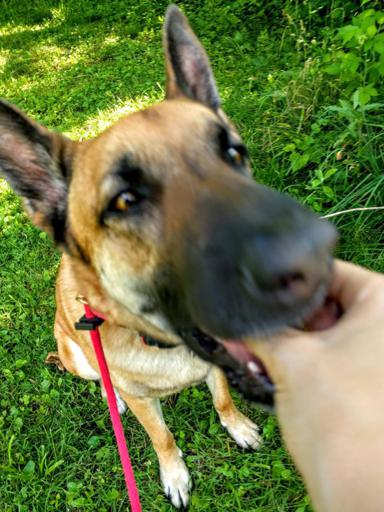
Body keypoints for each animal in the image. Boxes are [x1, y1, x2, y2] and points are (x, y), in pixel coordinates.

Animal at [0, 6, 336, 510]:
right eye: (124, 201)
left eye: (233, 153)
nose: (315, 257)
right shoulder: (146, 402)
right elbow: (162, 437)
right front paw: (174, 475)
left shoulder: (219, 367)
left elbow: (222, 398)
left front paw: (237, 426)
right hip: (77, 355)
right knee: (103, 384)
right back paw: (113, 398)